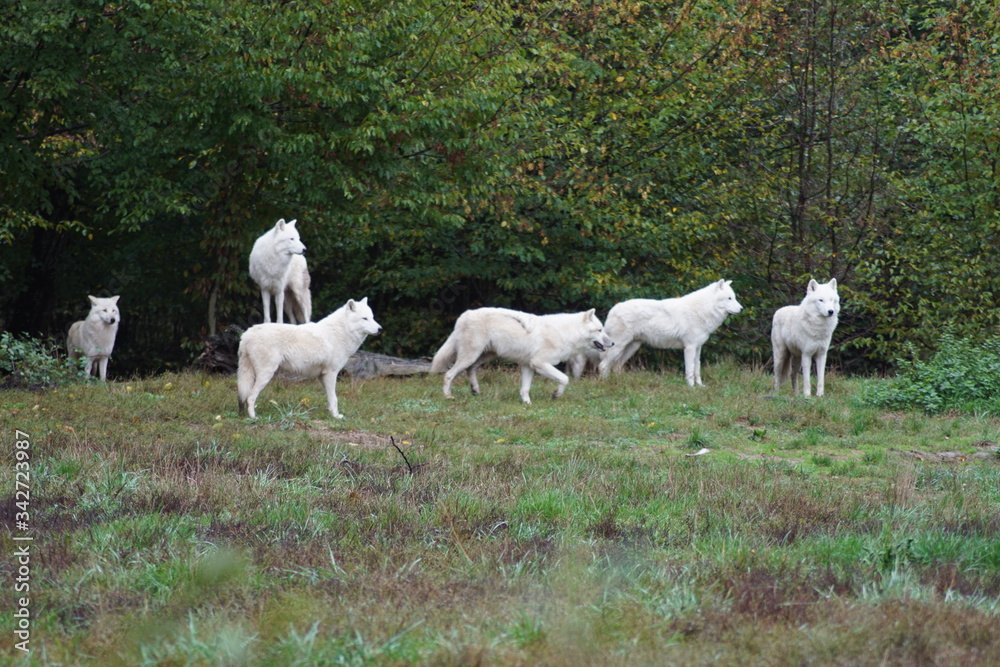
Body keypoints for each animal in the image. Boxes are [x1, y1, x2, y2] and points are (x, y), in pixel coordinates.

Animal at [237, 297, 382, 419]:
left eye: (372, 318)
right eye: (364, 318)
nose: (380, 329)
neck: (341, 332)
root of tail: (247, 333)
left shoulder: (322, 376)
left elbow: (330, 398)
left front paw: (330, 413)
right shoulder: (331, 373)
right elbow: (334, 398)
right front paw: (336, 416)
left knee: (243, 395)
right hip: (266, 374)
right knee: (250, 397)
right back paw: (254, 417)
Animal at [430, 307, 614, 404]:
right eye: (599, 330)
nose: (612, 343)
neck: (566, 333)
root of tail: (464, 314)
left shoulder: (528, 365)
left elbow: (525, 388)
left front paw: (527, 404)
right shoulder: (539, 364)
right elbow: (564, 378)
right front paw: (556, 395)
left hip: (484, 356)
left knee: (470, 370)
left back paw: (475, 390)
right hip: (471, 356)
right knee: (448, 374)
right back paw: (448, 396)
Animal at [595, 279, 743, 386]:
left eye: (734, 297)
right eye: (729, 298)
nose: (742, 309)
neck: (702, 310)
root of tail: (613, 308)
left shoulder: (698, 347)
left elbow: (697, 368)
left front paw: (700, 386)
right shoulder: (689, 347)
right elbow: (690, 369)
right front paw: (691, 388)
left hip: (632, 347)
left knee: (617, 366)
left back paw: (621, 382)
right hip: (619, 346)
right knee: (603, 366)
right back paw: (605, 384)